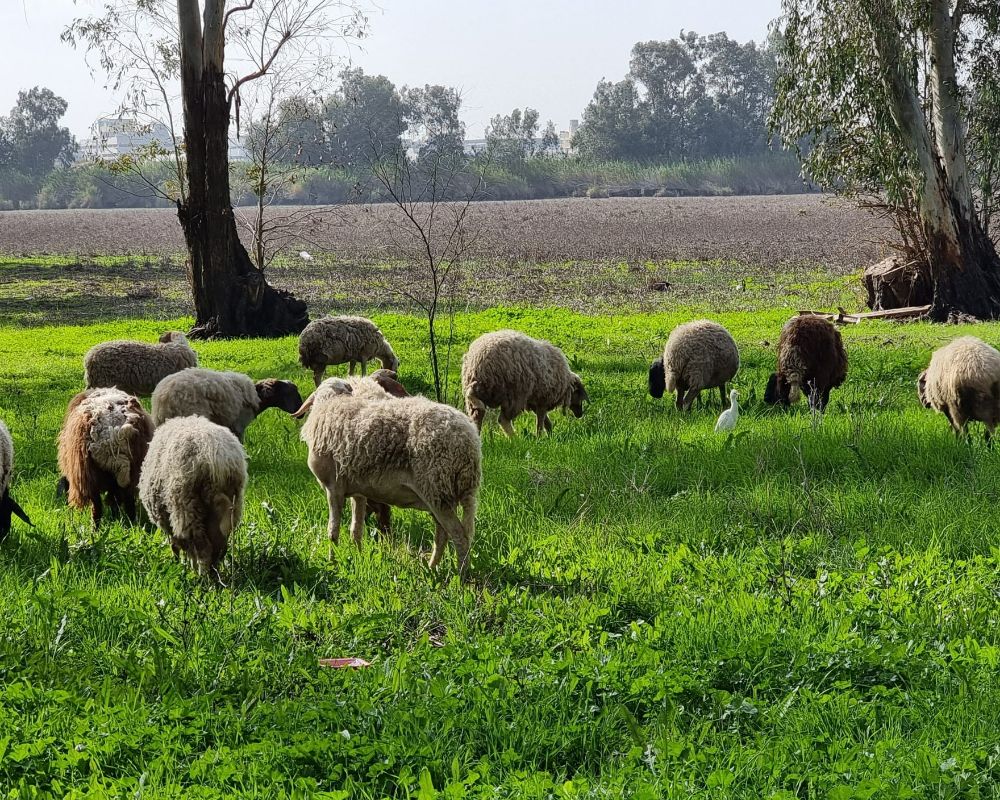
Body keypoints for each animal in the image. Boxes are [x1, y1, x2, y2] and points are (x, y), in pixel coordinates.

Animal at [57, 386, 156, 528]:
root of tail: (114, 432)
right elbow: (115, 499)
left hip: (88, 474)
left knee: (97, 507)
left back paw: (95, 529)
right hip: (134, 469)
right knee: (128, 501)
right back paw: (132, 525)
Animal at [139, 416, 248, 580]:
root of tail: (217, 458)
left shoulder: (167, 520)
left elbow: (176, 545)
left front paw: (179, 564)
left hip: (187, 507)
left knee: (202, 547)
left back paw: (203, 578)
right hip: (227, 506)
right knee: (218, 546)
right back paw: (213, 575)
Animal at [292, 376, 480, 576]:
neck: (330, 402)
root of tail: (470, 443)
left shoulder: (333, 488)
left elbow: (332, 531)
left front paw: (332, 563)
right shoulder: (358, 492)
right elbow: (356, 529)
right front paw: (358, 558)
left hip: (438, 489)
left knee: (459, 535)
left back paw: (461, 576)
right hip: (441, 494)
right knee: (443, 533)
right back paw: (432, 567)